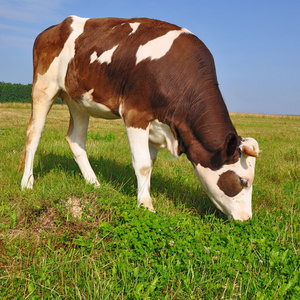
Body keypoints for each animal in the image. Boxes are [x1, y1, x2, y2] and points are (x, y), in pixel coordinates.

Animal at [20, 16, 260, 221]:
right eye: (243, 180)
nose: (247, 218)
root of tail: (54, 28)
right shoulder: (135, 114)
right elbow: (142, 164)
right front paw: (145, 205)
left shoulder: (156, 126)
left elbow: (150, 163)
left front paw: (144, 194)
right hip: (43, 88)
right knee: (33, 134)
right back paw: (27, 183)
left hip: (78, 100)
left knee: (76, 140)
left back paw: (94, 183)